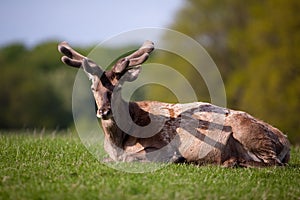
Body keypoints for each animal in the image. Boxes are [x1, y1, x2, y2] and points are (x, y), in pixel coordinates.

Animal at [58, 40, 290, 167]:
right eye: (93, 88)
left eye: (119, 87)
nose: (104, 111)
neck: (118, 141)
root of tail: (285, 141)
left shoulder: (165, 145)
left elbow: (130, 158)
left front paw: (177, 160)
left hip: (249, 131)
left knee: (275, 164)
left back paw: (232, 162)